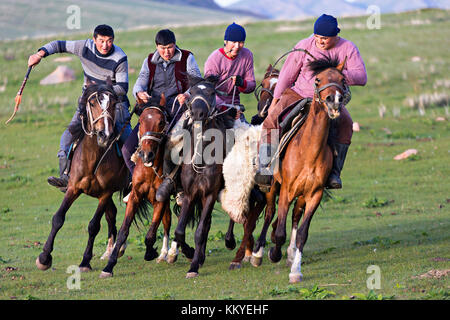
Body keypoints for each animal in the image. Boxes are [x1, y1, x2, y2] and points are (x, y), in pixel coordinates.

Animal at [35, 79, 128, 272]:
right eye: (92, 103)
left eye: (113, 104)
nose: (105, 135)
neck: (93, 159)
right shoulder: (74, 188)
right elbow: (58, 218)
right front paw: (44, 257)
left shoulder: (105, 193)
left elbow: (93, 226)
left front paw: (85, 261)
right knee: (112, 214)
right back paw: (111, 250)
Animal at [99, 95, 177, 278]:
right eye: (140, 121)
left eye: (161, 122)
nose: (146, 154)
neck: (150, 170)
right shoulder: (136, 196)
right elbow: (123, 231)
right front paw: (109, 265)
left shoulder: (159, 200)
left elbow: (150, 234)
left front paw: (150, 252)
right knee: (167, 220)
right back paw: (164, 254)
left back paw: (171, 253)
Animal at [251, 57, 346, 282]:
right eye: (318, 79)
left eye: (342, 79)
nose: (334, 100)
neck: (308, 151)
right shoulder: (285, 190)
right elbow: (279, 232)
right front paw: (273, 253)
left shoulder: (314, 194)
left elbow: (302, 232)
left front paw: (295, 269)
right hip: (273, 187)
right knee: (270, 213)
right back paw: (258, 253)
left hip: (301, 195)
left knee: (294, 216)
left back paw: (290, 253)